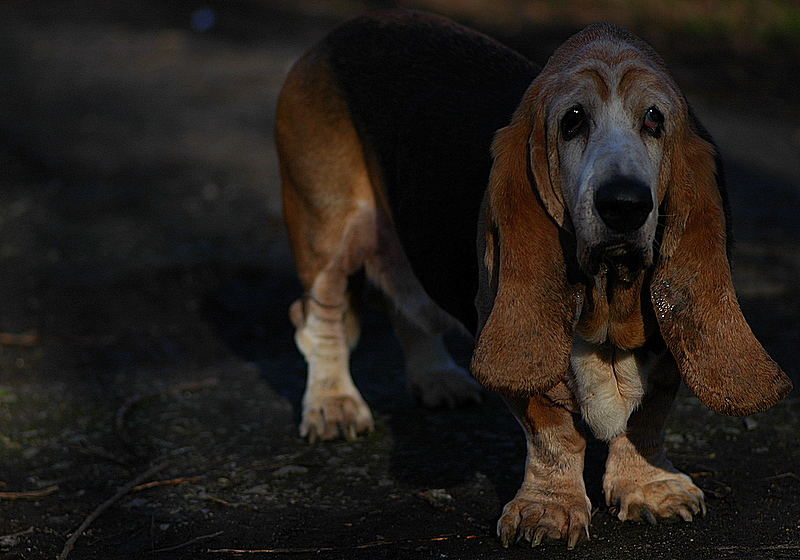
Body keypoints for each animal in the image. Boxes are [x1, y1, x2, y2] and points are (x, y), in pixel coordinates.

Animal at [276, 10, 792, 548]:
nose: (624, 204)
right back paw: (333, 405)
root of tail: (348, 28)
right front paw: (548, 509)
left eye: (654, 119)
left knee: (407, 305)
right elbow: (552, 432)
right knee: (317, 316)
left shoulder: (667, 356)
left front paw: (652, 487)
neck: (608, 297)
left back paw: (437, 378)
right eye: (572, 120)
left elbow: (646, 419)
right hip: (326, 229)